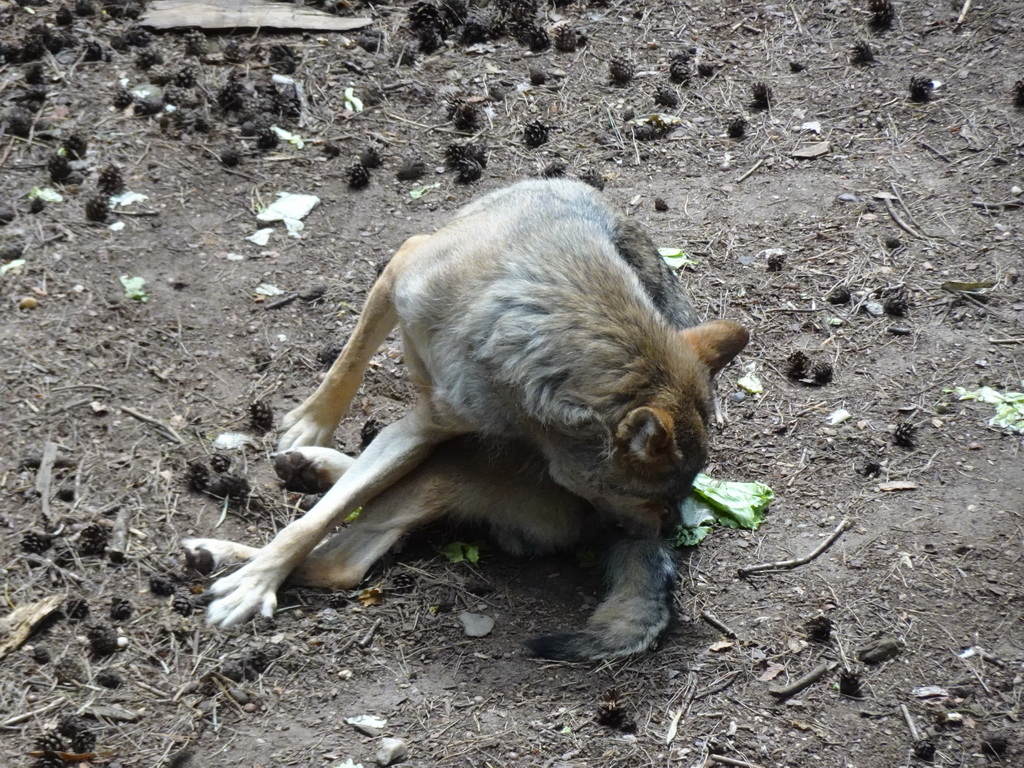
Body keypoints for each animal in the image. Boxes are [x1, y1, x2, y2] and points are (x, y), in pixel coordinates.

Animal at [182, 179, 745, 663]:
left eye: (677, 496)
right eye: (653, 499)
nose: (668, 530)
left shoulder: (429, 430)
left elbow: (316, 521)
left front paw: (254, 584)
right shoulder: (401, 277)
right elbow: (349, 365)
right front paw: (312, 421)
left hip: (450, 465)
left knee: (342, 561)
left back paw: (221, 549)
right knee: (349, 522)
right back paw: (300, 470)